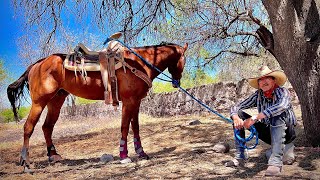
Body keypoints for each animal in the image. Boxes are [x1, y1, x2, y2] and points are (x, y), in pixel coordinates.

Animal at [6, 41, 188, 171]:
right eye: (184, 60)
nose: (176, 82)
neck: (138, 63)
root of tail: (37, 64)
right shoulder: (129, 101)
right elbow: (124, 127)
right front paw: (124, 156)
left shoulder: (136, 102)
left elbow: (135, 126)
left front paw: (141, 153)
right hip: (39, 102)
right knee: (28, 127)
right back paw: (25, 162)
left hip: (55, 101)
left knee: (47, 127)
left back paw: (53, 155)